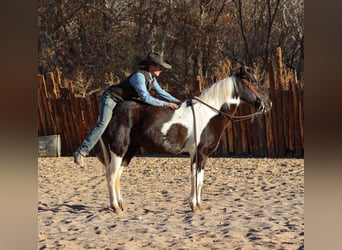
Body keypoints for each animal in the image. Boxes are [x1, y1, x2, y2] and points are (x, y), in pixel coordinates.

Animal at [97, 65, 272, 214]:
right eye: (254, 83)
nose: (269, 103)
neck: (209, 114)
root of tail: (113, 111)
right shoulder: (200, 153)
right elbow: (197, 179)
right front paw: (195, 206)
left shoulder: (200, 155)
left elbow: (198, 179)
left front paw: (197, 206)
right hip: (118, 149)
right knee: (111, 175)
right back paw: (115, 207)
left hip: (129, 151)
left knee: (117, 175)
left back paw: (121, 205)